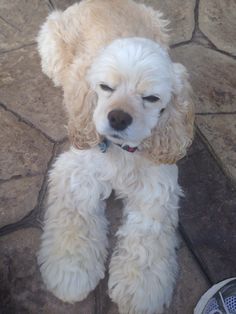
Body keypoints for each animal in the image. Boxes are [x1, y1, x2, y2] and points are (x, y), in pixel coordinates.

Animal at [37, 1, 195, 312]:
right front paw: (71, 274)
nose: (119, 117)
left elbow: (147, 239)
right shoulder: (76, 172)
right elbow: (75, 222)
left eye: (151, 98)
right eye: (105, 88)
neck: (123, 152)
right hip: (52, 43)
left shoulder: (156, 188)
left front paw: (142, 291)